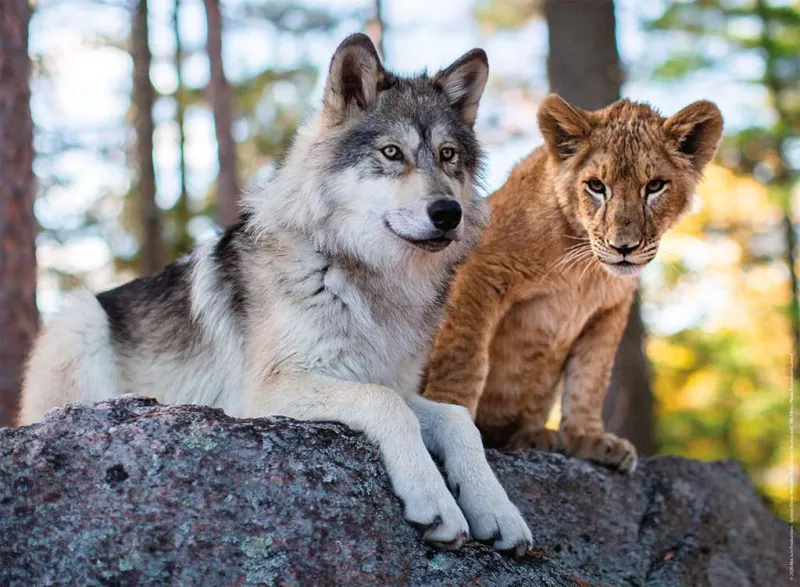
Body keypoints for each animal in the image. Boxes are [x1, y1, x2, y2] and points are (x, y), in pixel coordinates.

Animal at [19, 34, 532, 552]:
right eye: (392, 153)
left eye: (448, 156)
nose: (448, 213)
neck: (365, 276)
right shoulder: (268, 393)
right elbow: (386, 406)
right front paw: (435, 500)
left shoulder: (389, 380)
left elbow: (457, 418)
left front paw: (497, 510)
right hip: (79, 320)